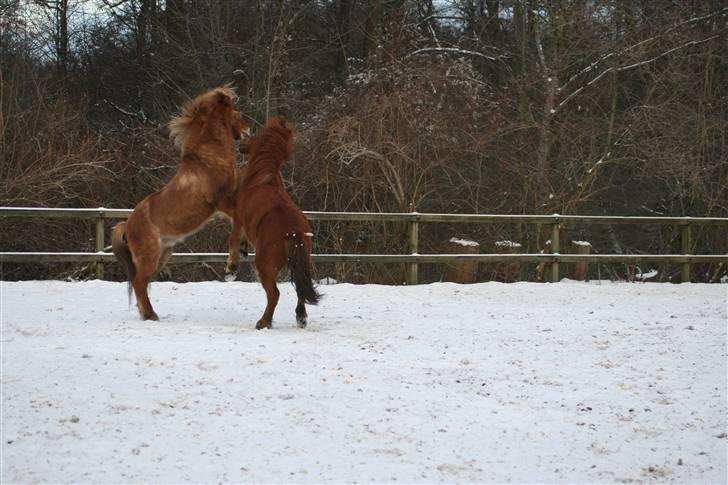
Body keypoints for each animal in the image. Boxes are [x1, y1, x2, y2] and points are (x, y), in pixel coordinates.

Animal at [111, 86, 250, 322]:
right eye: (236, 111)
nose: (248, 130)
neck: (210, 157)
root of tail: (127, 225)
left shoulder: (226, 203)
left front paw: (244, 249)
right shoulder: (222, 202)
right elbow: (238, 225)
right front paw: (231, 268)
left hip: (163, 256)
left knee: (142, 284)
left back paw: (148, 314)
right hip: (150, 256)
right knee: (139, 283)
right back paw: (151, 316)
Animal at [223, 117, 320, 328]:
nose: (241, 142)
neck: (262, 179)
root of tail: (294, 231)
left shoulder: (238, 219)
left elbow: (233, 240)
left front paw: (231, 270)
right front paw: (243, 250)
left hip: (265, 266)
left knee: (274, 294)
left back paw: (263, 322)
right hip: (301, 262)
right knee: (300, 290)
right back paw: (301, 317)